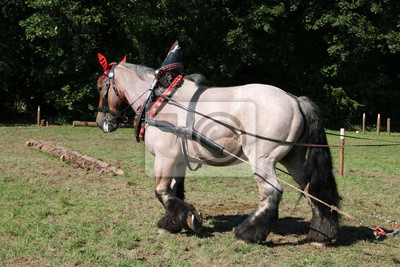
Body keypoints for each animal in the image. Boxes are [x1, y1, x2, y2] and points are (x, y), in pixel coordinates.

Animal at [95, 54, 340, 245]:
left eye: (100, 86)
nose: (101, 121)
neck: (159, 100)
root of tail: (294, 99)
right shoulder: (178, 159)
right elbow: (175, 190)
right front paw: (173, 221)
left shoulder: (164, 157)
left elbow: (162, 191)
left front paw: (188, 218)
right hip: (292, 158)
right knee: (310, 189)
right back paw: (321, 234)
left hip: (263, 159)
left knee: (272, 193)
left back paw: (248, 233)